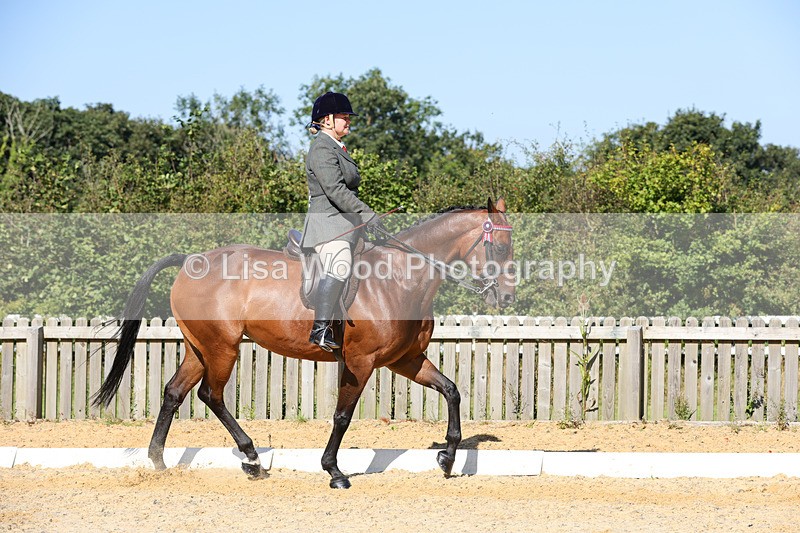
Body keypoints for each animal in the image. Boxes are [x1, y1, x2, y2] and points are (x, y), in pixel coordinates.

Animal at [93, 197, 515, 488]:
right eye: (499, 248)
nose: (507, 298)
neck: (399, 278)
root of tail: (189, 261)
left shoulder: (405, 359)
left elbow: (452, 391)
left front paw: (448, 457)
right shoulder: (361, 362)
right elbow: (342, 416)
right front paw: (334, 471)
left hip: (201, 348)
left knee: (174, 391)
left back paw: (158, 461)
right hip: (222, 348)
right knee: (210, 395)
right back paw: (252, 459)